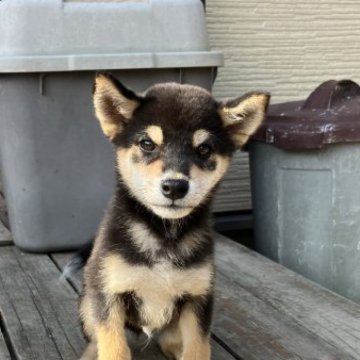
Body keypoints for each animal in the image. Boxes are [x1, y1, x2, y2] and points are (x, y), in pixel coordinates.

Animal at [79, 74, 270, 360]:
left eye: (204, 149)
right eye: (147, 144)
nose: (175, 187)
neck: (164, 235)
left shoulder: (198, 299)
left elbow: (198, 349)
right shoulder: (107, 293)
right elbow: (113, 347)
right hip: (87, 303)